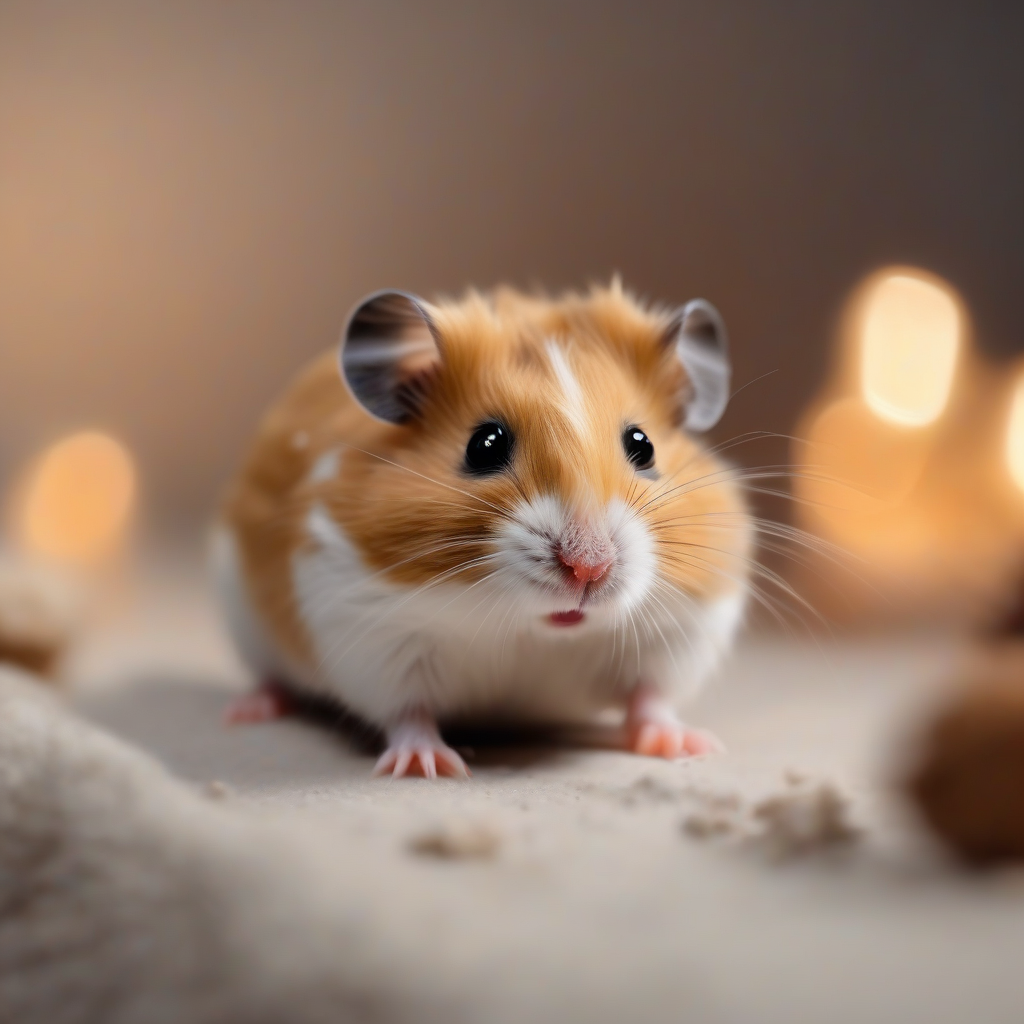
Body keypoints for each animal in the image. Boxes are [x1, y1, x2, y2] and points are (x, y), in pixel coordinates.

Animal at [213, 281, 752, 778]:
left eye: (643, 445)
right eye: (484, 445)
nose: (588, 568)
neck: (529, 629)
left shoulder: (682, 631)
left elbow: (651, 698)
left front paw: (688, 747)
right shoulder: (372, 632)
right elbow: (408, 711)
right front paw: (428, 766)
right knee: (271, 678)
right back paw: (246, 712)